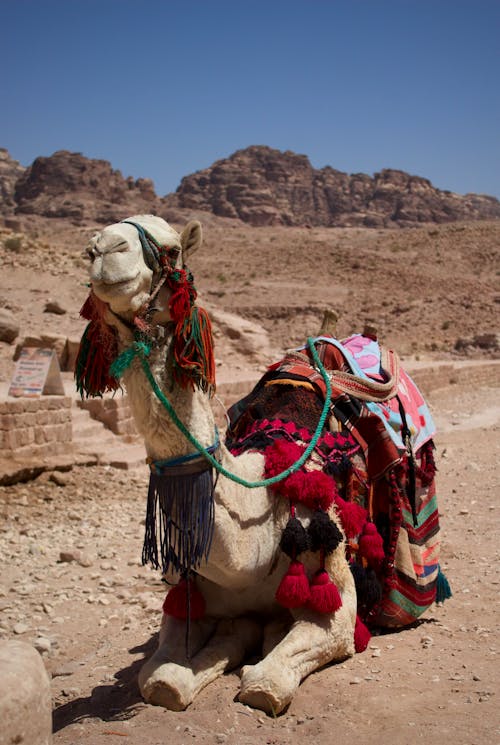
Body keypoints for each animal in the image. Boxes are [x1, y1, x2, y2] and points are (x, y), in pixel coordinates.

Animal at [76, 215, 448, 716]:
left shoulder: (335, 603)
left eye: (172, 249)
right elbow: (159, 679)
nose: (105, 249)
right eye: (89, 250)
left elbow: (265, 682)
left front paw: (260, 666)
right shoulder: (194, 597)